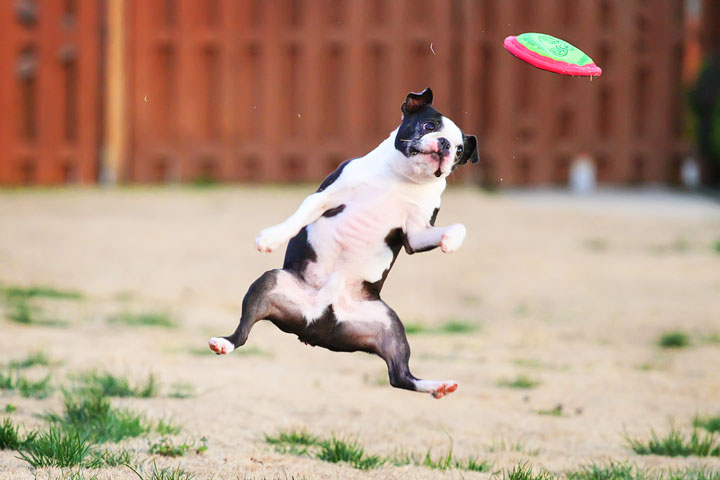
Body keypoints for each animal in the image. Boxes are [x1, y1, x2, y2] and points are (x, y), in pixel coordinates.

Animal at [210, 88, 478, 400]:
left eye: (459, 151)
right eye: (428, 126)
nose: (445, 144)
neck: (401, 179)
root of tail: (315, 327)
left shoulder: (416, 232)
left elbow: (458, 227)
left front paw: (451, 241)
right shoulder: (326, 197)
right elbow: (299, 216)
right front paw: (271, 237)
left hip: (390, 328)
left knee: (400, 376)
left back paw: (439, 386)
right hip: (268, 284)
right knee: (243, 333)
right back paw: (224, 342)